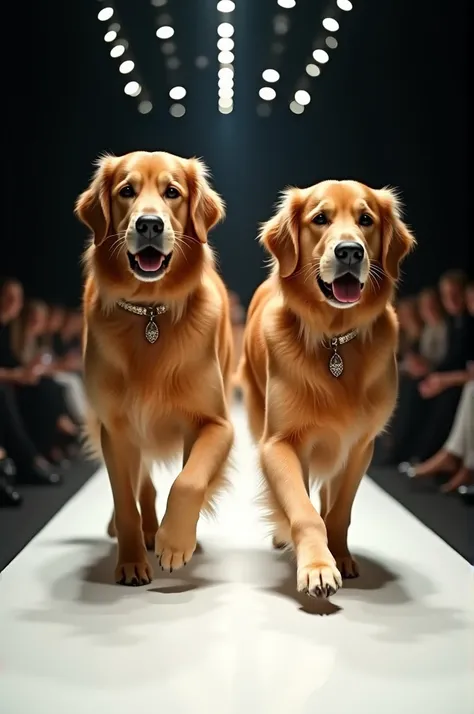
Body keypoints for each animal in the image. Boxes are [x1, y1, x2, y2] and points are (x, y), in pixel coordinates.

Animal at [74, 150, 235, 584]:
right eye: (127, 190)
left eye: (172, 192)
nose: (149, 224)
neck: (150, 313)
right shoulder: (116, 428)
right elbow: (125, 500)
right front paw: (131, 559)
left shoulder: (217, 424)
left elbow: (189, 480)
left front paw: (175, 542)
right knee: (140, 486)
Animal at [237, 178, 414, 596]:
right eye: (320, 219)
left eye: (366, 219)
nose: (350, 250)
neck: (334, 340)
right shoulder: (279, 444)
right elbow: (302, 511)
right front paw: (317, 566)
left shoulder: (359, 445)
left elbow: (337, 511)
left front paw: (339, 556)